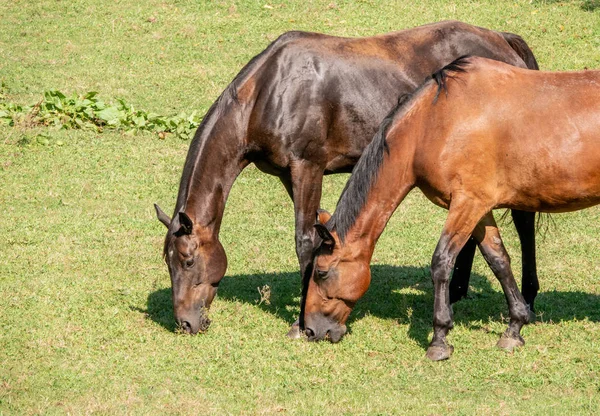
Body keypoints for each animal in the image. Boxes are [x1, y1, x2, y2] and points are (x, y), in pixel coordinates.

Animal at [154, 21, 540, 336]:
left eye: (188, 261)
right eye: (168, 263)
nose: (185, 322)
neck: (269, 91)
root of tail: (503, 39)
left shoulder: (307, 167)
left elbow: (305, 241)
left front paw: (298, 323)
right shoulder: (289, 175)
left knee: (524, 222)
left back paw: (528, 299)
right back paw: (459, 291)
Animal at [304, 55, 600, 360]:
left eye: (321, 272)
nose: (310, 330)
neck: (434, 123)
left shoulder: (466, 204)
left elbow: (442, 262)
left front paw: (439, 338)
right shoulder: (480, 208)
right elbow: (499, 260)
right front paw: (515, 327)